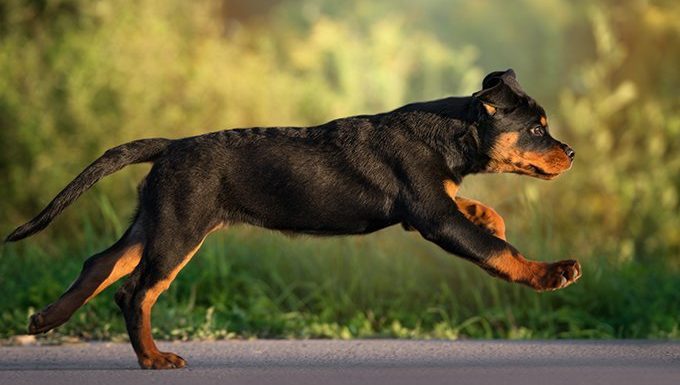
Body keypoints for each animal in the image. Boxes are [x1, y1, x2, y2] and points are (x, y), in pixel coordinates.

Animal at [3, 69, 580, 368]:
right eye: (537, 130)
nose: (571, 153)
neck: (451, 133)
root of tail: (170, 146)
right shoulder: (432, 216)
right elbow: (498, 253)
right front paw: (552, 273)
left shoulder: (433, 206)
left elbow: (476, 214)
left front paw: (490, 214)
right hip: (180, 229)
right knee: (135, 292)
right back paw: (153, 358)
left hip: (156, 219)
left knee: (102, 263)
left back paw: (46, 320)